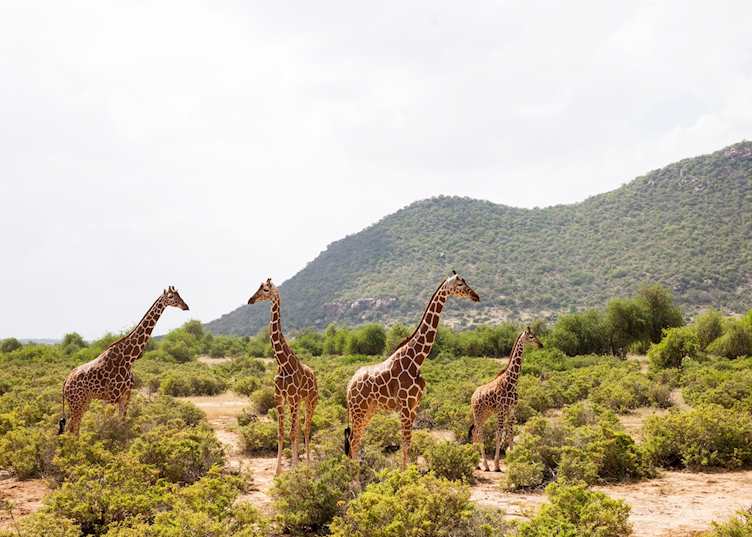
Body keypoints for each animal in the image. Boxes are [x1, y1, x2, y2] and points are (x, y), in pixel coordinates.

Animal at [59, 286, 189, 435]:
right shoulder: (112, 397)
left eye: (180, 295)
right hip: (76, 402)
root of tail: (65, 382)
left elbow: (122, 423)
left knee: (75, 428)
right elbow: (109, 425)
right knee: (71, 428)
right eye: (172, 296)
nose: (186, 306)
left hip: (84, 402)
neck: (128, 359)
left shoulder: (126, 396)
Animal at [248, 278, 318, 475]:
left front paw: (294, 468)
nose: (250, 300)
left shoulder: (292, 398)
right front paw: (277, 470)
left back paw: (307, 464)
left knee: (306, 428)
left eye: (265, 289)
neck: (283, 364)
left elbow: (292, 433)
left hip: (310, 401)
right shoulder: (280, 398)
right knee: (301, 429)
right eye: (257, 287)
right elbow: (281, 433)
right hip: (299, 402)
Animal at [344, 272, 480, 469]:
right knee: (353, 440)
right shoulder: (405, 406)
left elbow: (409, 441)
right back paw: (353, 474)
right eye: (461, 284)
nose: (476, 296)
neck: (416, 359)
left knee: (356, 439)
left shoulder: (415, 405)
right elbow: (405, 441)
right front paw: (404, 473)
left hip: (368, 410)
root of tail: (349, 386)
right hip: (358, 409)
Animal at [468, 326, 542, 471]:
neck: (511, 382)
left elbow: (510, 433)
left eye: (536, 335)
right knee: (479, 433)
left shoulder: (512, 409)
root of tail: (473, 396)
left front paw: (513, 459)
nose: (541, 345)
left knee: (474, 432)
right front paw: (497, 465)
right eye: (531, 337)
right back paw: (485, 465)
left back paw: (477, 464)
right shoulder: (502, 410)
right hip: (478, 413)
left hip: (486, 414)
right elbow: (499, 433)